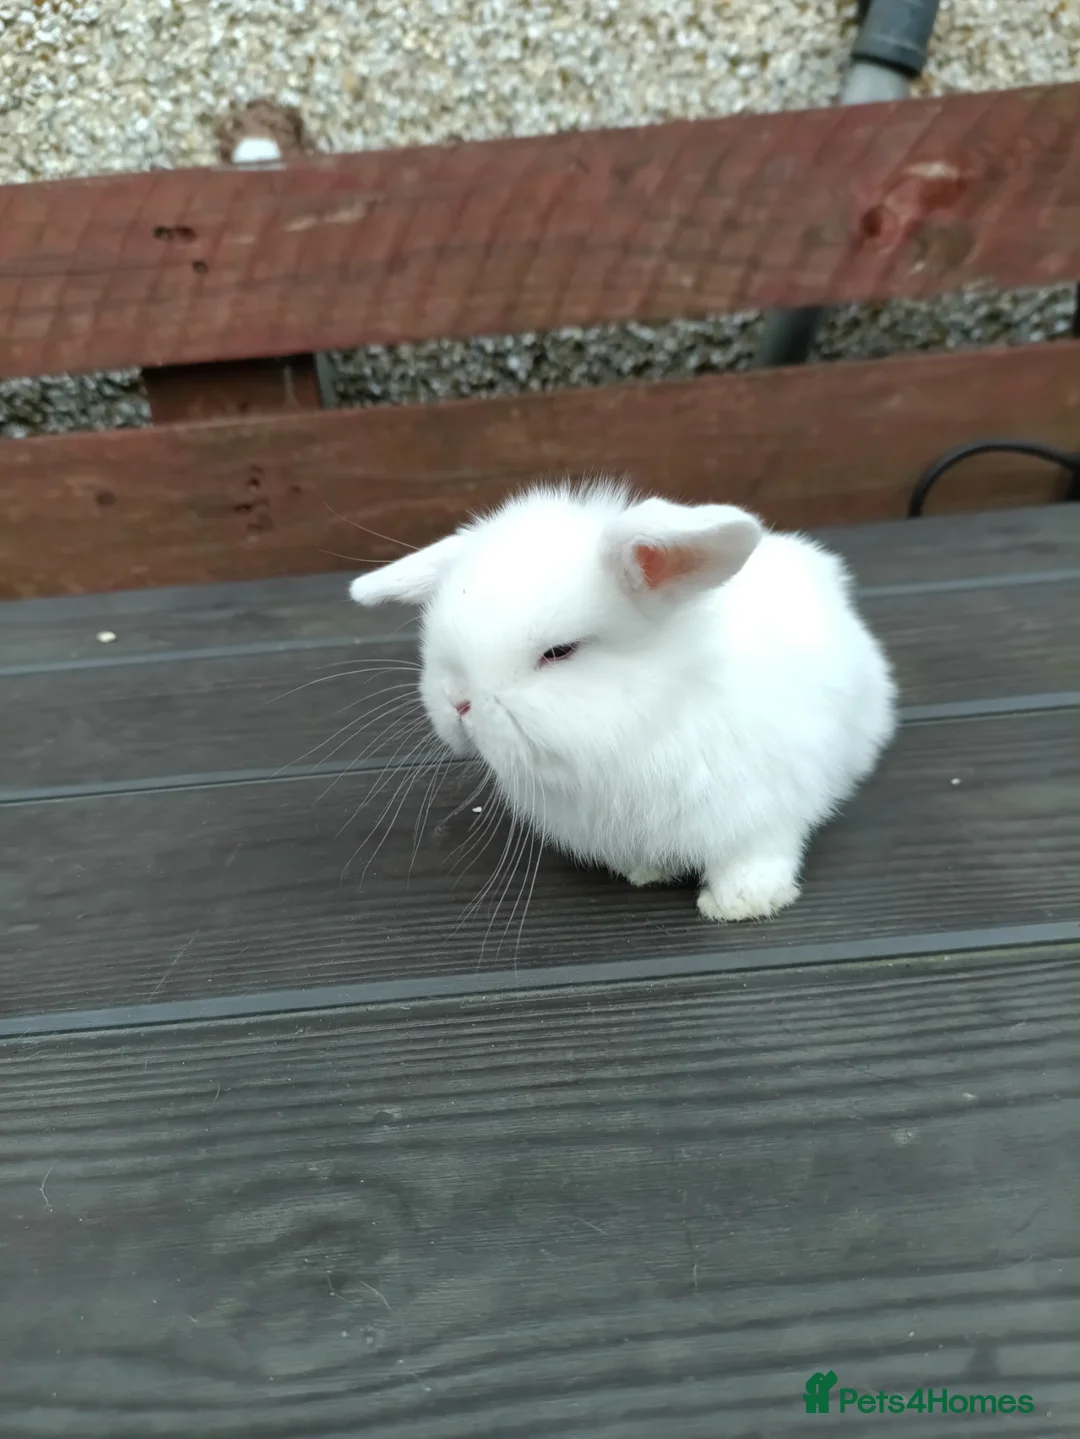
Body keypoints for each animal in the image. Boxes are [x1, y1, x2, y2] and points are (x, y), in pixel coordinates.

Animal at [348, 481, 896, 922]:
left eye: (560, 651)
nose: (458, 703)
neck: (642, 722)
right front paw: (646, 873)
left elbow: (753, 860)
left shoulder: (759, 810)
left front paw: (738, 905)